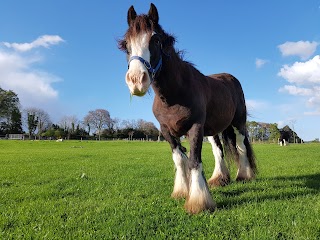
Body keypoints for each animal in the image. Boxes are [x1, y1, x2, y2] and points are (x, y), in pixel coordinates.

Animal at [119, 3, 256, 214]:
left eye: (155, 39)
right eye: (126, 43)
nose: (136, 80)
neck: (175, 95)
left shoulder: (195, 127)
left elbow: (193, 160)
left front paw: (198, 202)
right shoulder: (166, 130)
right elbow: (179, 158)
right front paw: (182, 191)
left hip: (238, 123)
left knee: (241, 145)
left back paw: (243, 175)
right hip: (213, 130)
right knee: (218, 150)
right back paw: (219, 179)